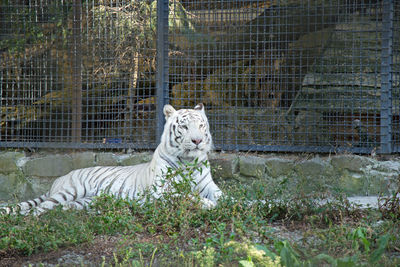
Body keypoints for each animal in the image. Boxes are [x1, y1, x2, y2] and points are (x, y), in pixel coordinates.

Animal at [1, 103, 222, 217]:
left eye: (201, 125)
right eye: (184, 126)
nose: (197, 141)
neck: (189, 162)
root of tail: (59, 179)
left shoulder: (209, 186)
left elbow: (223, 196)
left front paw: (227, 202)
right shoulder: (161, 192)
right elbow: (187, 196)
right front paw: (208, 204)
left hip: (85, 199)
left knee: (64, 206)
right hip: (70, 191)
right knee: (38, 209)